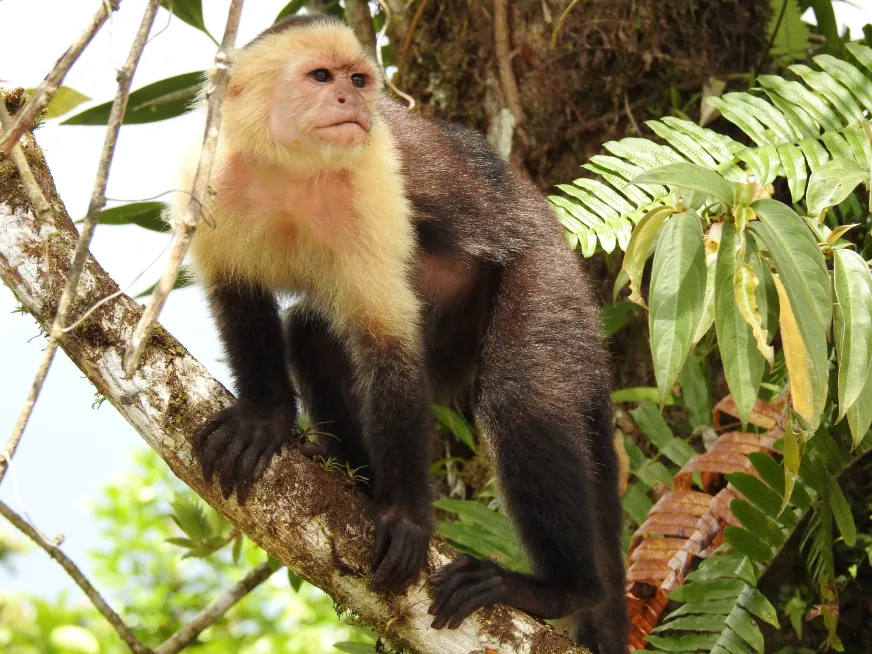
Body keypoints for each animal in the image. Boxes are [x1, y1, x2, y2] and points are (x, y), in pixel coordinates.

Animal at [177, 14, 627, 653]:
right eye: (322, 77)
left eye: (360, 80)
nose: (353, 99)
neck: (291, 167)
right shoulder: (208, 175)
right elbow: (238, 294)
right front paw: (265, 420)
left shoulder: (370, 180)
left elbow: (387, 346)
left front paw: (408, 519)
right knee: (311, 338)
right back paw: (357, 481)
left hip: (546, 274)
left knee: (520, 396)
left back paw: (560, 590)